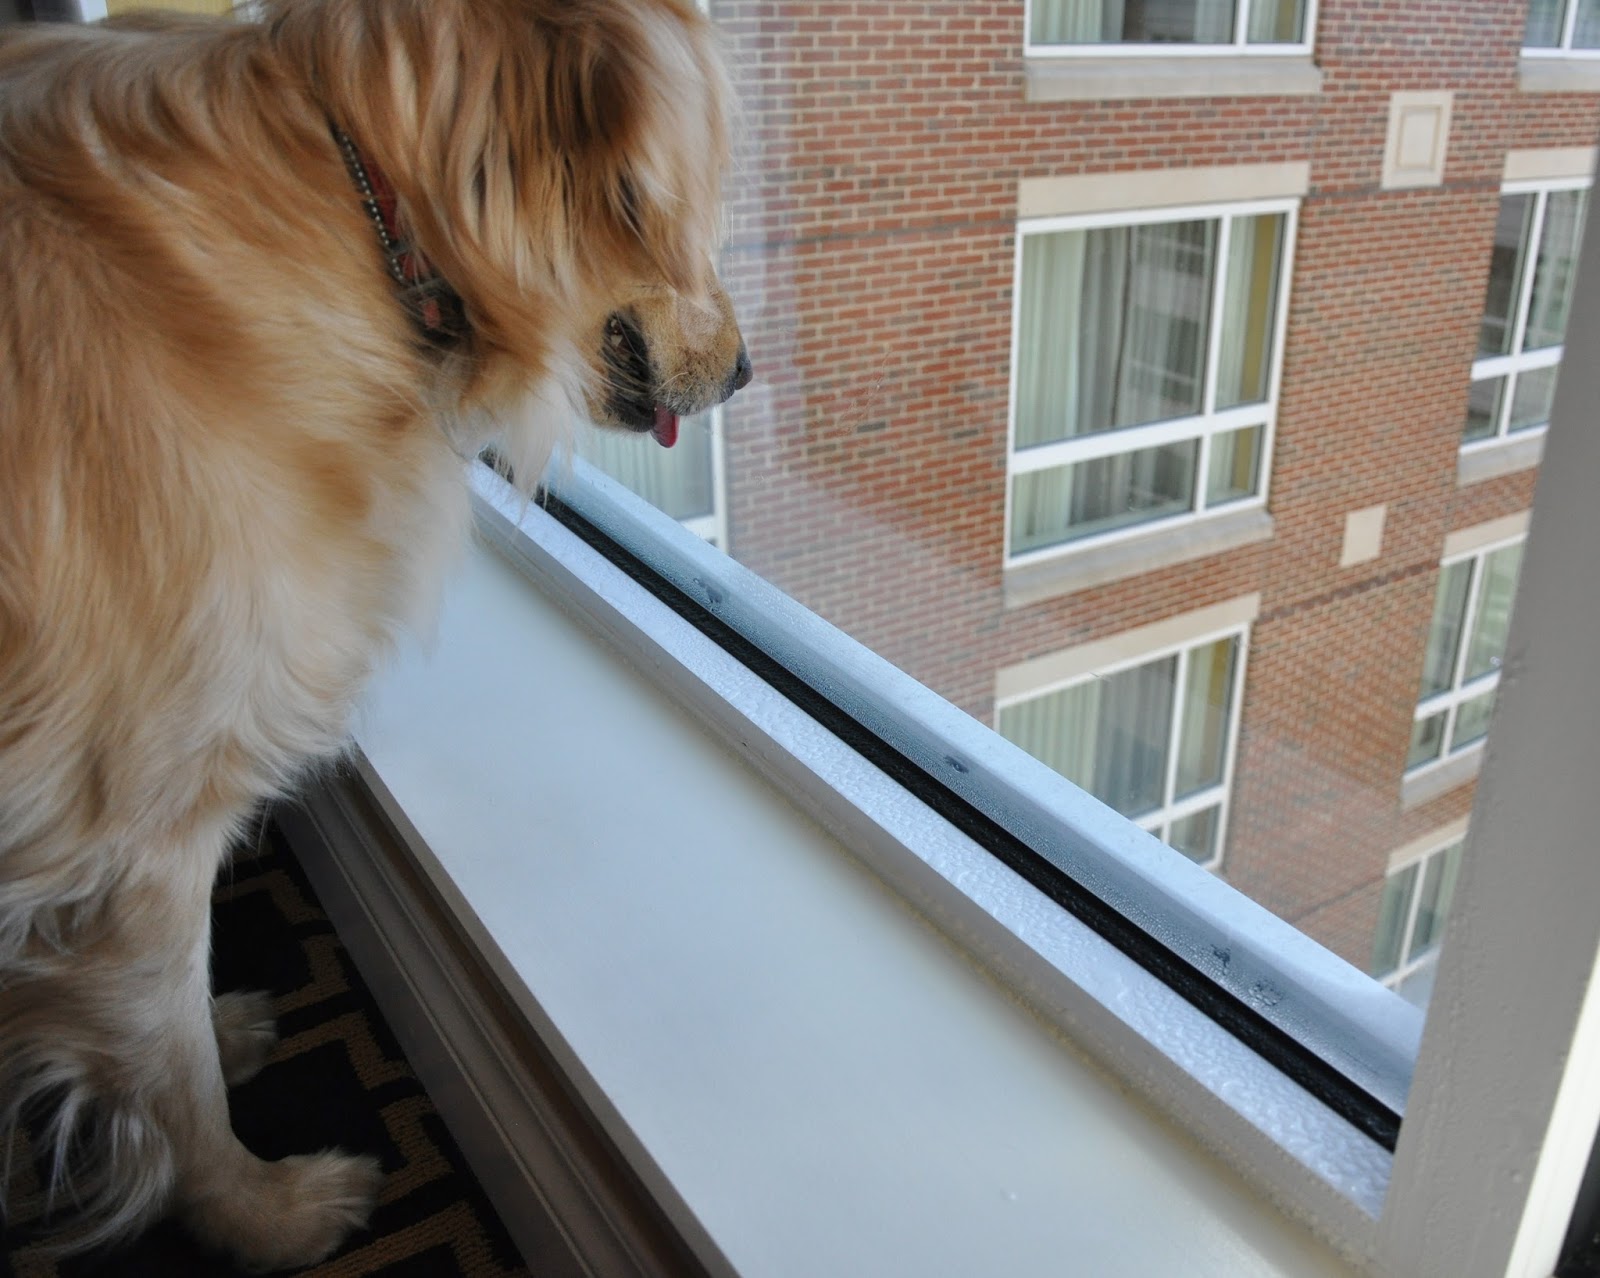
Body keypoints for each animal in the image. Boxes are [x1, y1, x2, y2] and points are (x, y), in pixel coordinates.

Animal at [0, 0, 749, 1266]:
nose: (746, 372)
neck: (365, 215)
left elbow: (170, 1021)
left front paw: (219, 1028)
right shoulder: (128, 836)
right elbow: (171, 1070)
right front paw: (258, 1213)